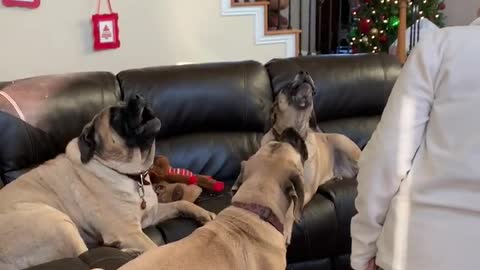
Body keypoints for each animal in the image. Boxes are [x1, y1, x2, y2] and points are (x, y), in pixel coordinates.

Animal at [0, 95, 214, 270]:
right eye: (115, 117)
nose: (137, 96)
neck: (130, 174)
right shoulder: (129, 231)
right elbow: (154, 247)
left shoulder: (151, 215)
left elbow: (182, 203)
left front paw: (203, 214)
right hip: (58, 222)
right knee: (86, 257)